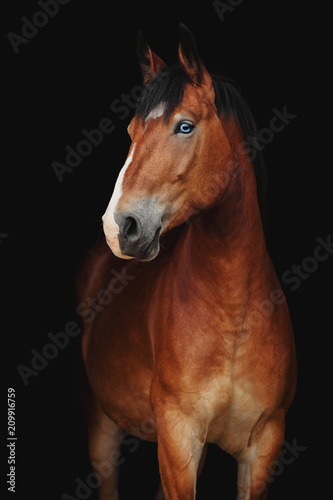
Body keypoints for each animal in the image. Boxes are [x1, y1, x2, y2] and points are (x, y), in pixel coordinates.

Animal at [76, 25, 296, 500]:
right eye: (132, 129)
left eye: (184, 126)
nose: (119, 226)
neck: (234, 314)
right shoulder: (178, 438)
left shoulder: (264, 445)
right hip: (102, 424)